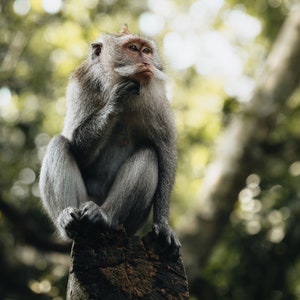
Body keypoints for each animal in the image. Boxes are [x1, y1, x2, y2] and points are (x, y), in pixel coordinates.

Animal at [39, 24, 180, 258]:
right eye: (133, 48)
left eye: (147, 51)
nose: (146, 62)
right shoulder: (80, 86)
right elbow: (78, 150)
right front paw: (114, 102)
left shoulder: (157, 99)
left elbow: (165, 152)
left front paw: (162, 225)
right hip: (82, 201)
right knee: (58, 143)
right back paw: (67, 219)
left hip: (131, 224)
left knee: (149, 155)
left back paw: (104, 216)